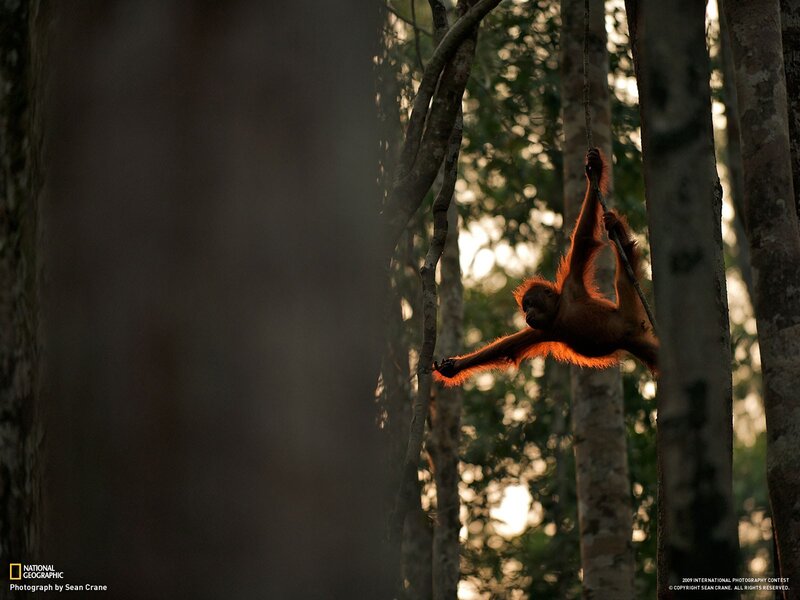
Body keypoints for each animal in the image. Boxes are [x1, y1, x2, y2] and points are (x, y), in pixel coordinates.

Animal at [433, 148, 658, 387]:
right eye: (525, 308)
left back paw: (619, 233)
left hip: (629, 311)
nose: (527, 314)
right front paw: (453, 367)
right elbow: (505, 348)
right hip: (637, 341)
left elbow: (584, 237)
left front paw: (594, 170)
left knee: (623, 277)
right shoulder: (542, 331)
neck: (559, 313)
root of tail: (635, 326)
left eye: (530, 304)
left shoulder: (571, 285)